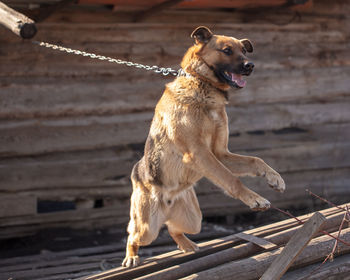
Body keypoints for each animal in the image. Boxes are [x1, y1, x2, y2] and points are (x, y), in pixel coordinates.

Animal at [122, 25, 284, 266]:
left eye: (244, 51)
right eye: (227, 50)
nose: (251, 65)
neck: (203, 87)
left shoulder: (220, 153)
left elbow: (256, 160)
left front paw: (274, 178)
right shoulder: (198, 153)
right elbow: (231, 179)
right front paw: (254, 198)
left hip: (194, 221)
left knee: (173, 228)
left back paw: (187, 244)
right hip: (147, 228)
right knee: (132, 235)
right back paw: (131, 256)